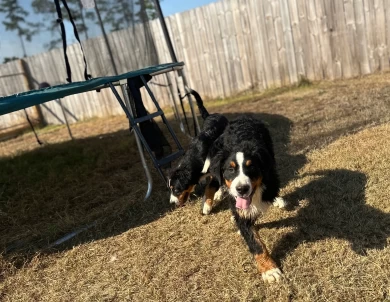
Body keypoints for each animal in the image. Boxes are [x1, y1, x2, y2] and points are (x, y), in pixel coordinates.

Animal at [207, 115, 286, 284]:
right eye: (230, 169)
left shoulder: (270, 179)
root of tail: (243, 117)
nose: (241, 189)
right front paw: (269, 270)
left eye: (251, 167)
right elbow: (256, 243)